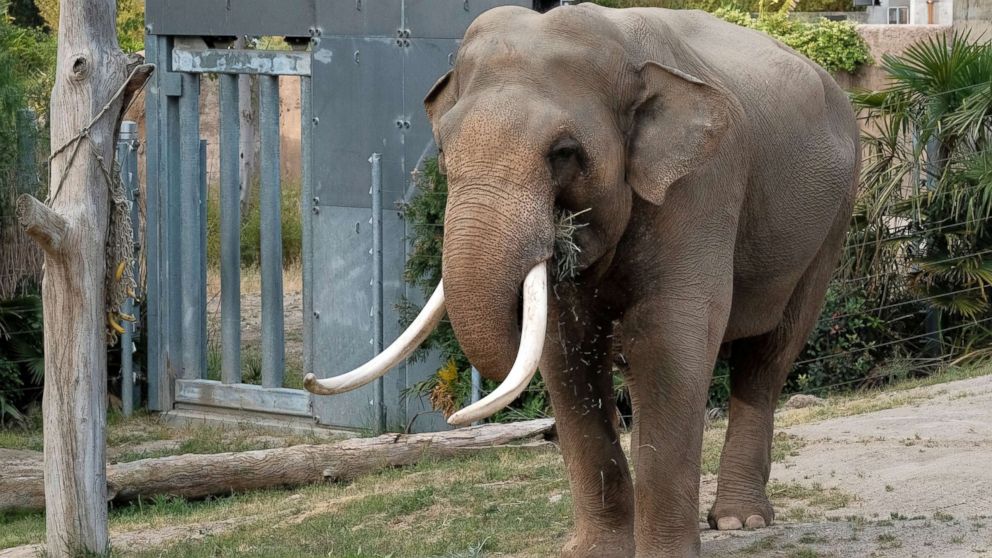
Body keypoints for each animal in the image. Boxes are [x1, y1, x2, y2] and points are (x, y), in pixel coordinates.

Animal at [304, 4, 860, 558]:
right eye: (442, 151)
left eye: (564, 152)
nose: (456, 420)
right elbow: (565, 353)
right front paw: (596, 552)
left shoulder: (703, 186)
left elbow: (667, 344)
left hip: (833, 223)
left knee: (769, 355)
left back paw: (741, 520)